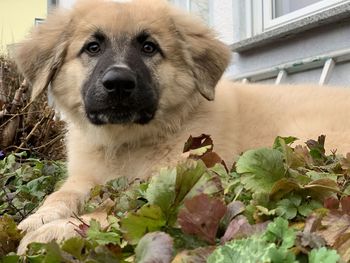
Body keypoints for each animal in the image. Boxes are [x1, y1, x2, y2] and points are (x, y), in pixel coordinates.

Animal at [15, 0, 350, 255]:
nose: (118, 83)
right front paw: (40, 218)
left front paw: (53, 232)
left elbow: (113, 210)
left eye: (149, 47)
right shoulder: (84, 176)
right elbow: (61, 194)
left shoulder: (180, 185)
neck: (126, 141)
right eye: (93, 47)